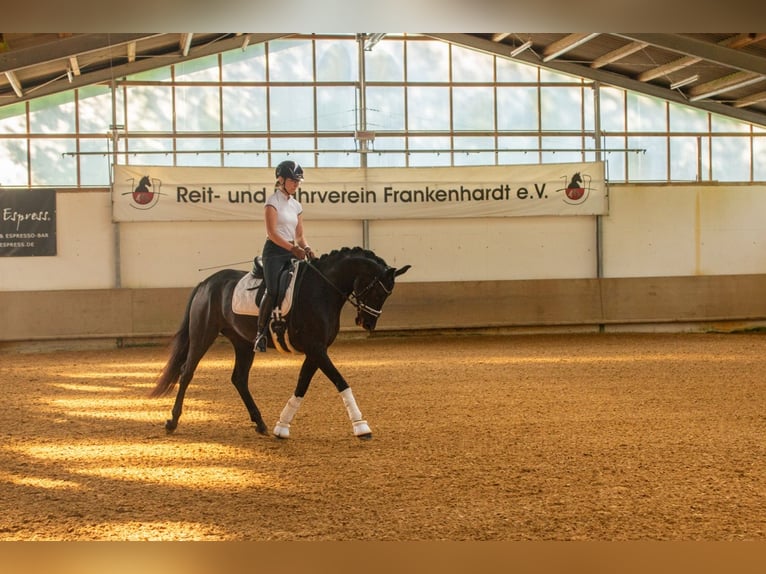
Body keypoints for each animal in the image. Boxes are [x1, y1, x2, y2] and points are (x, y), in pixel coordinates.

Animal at [152, 246, 414, 440]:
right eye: (379, 292)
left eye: (387, 294)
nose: (367, 323)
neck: (322, 289)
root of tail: (206, 283)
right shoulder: (316, 349)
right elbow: (341, 381)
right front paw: (361, 427)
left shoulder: (316, 350)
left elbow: (301, 385)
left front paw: (282, 426)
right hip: (202, 334)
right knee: (187, 372)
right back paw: (172, 421)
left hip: (243, 343)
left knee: (239, 379)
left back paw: (261, 424)